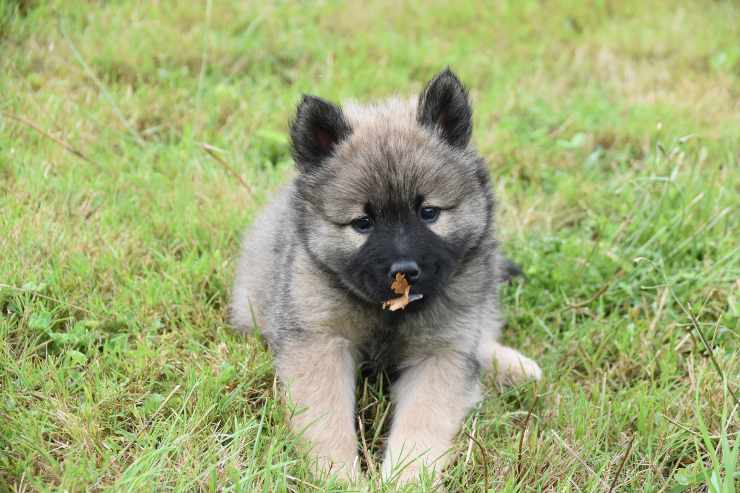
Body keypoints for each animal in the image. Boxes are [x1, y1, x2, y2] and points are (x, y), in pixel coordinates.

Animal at [231, 69, 544, 484]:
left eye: (429, 213)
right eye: (363, 223)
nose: (405, 270)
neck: (388, 312)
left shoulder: (441, 352)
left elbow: (423, 424)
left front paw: (405, 478)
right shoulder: (320, 342)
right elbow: (326, 420)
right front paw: (338, 477)